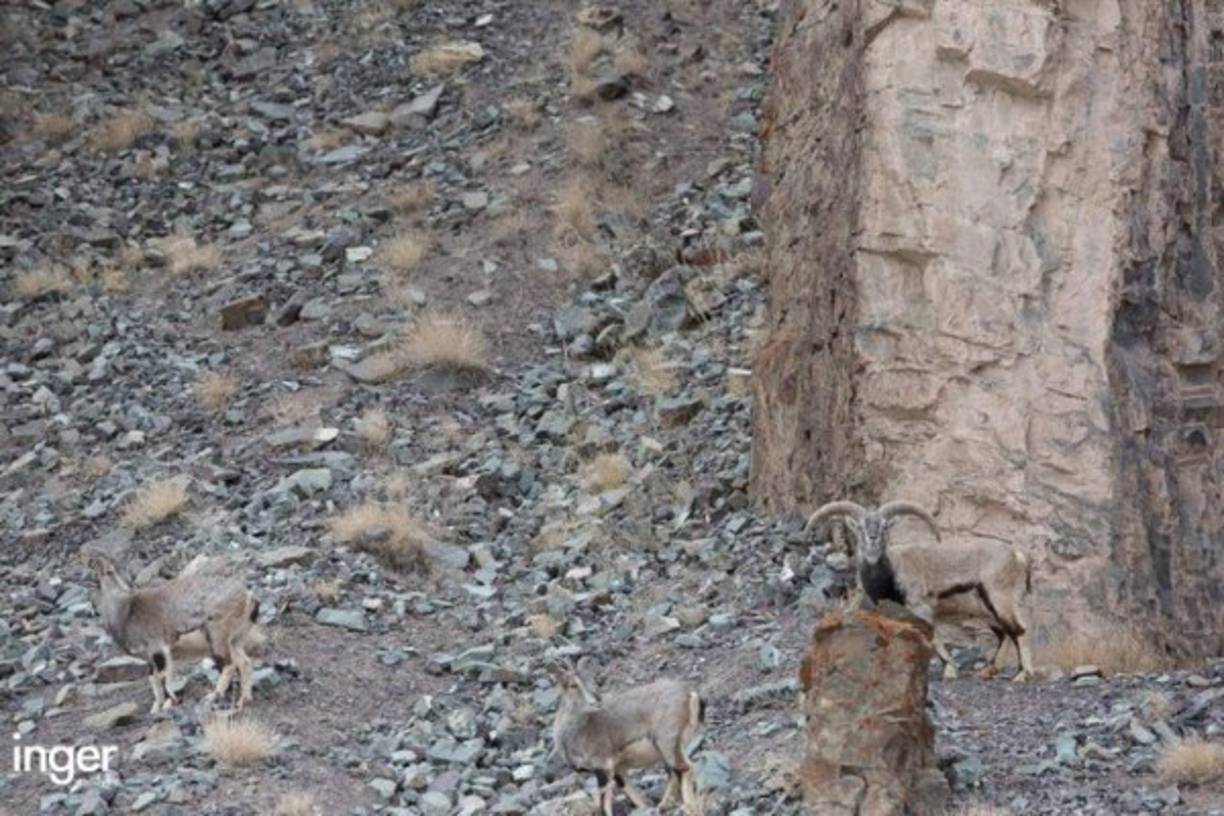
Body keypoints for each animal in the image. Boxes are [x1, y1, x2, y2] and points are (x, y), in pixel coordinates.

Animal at [82, 551, 261, 713]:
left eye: (107, 572)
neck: (126, 611)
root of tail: (248, 596)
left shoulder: (158, 649)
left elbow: (163, 678)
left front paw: (170, 703)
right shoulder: (150, 658)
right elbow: (154, 680)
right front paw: (156, 709)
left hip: (217, 637)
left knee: (230, 665)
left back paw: (213, 696)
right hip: (235, 641)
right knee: (245, 663)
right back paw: (244, 701)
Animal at [549, 661, 705, 815]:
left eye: (591, 680)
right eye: (572, 685)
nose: (597, 700)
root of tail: (690, 694)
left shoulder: (602, 767)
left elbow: (604, 805)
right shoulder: (618, 768)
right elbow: (634, 795)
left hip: (667, 742)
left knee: (685, 769)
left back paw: (689, 808)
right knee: (674, 773)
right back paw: (663, 806)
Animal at [805, 500, 1034, 682]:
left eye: (885, 525)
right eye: (860, 527)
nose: (872, 537)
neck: (892, 570)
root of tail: (1018, 556)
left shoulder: (920, 607)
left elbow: (932, 637)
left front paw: (949, 670)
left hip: (1001, 599)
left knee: (1019, 630)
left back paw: (1022, 674)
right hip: (986, 611)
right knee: (1004, 633)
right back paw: (989, 671)